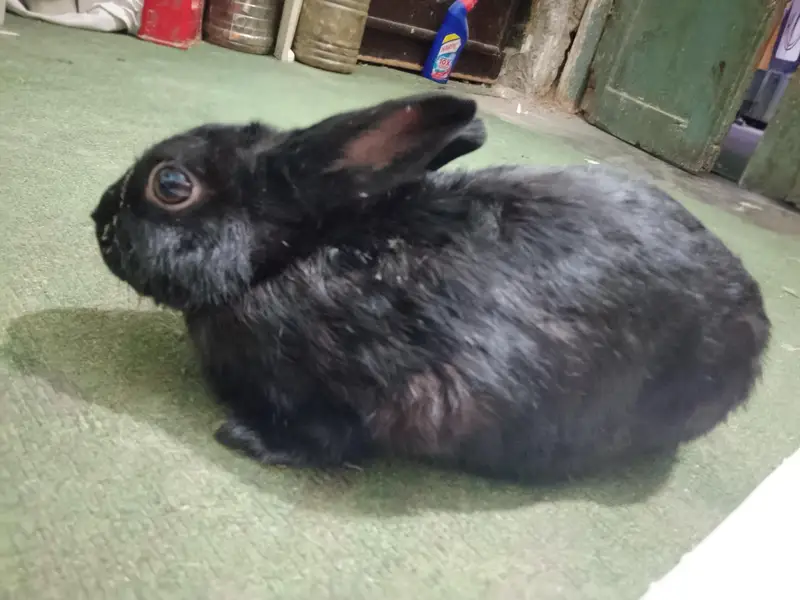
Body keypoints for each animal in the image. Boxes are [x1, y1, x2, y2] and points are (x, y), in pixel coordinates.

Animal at [91, 93, 771, 483]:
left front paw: (246, 438)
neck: (286, 260)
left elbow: (328, 442)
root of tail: (758, 324)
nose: (97, 216)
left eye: (170, 185)